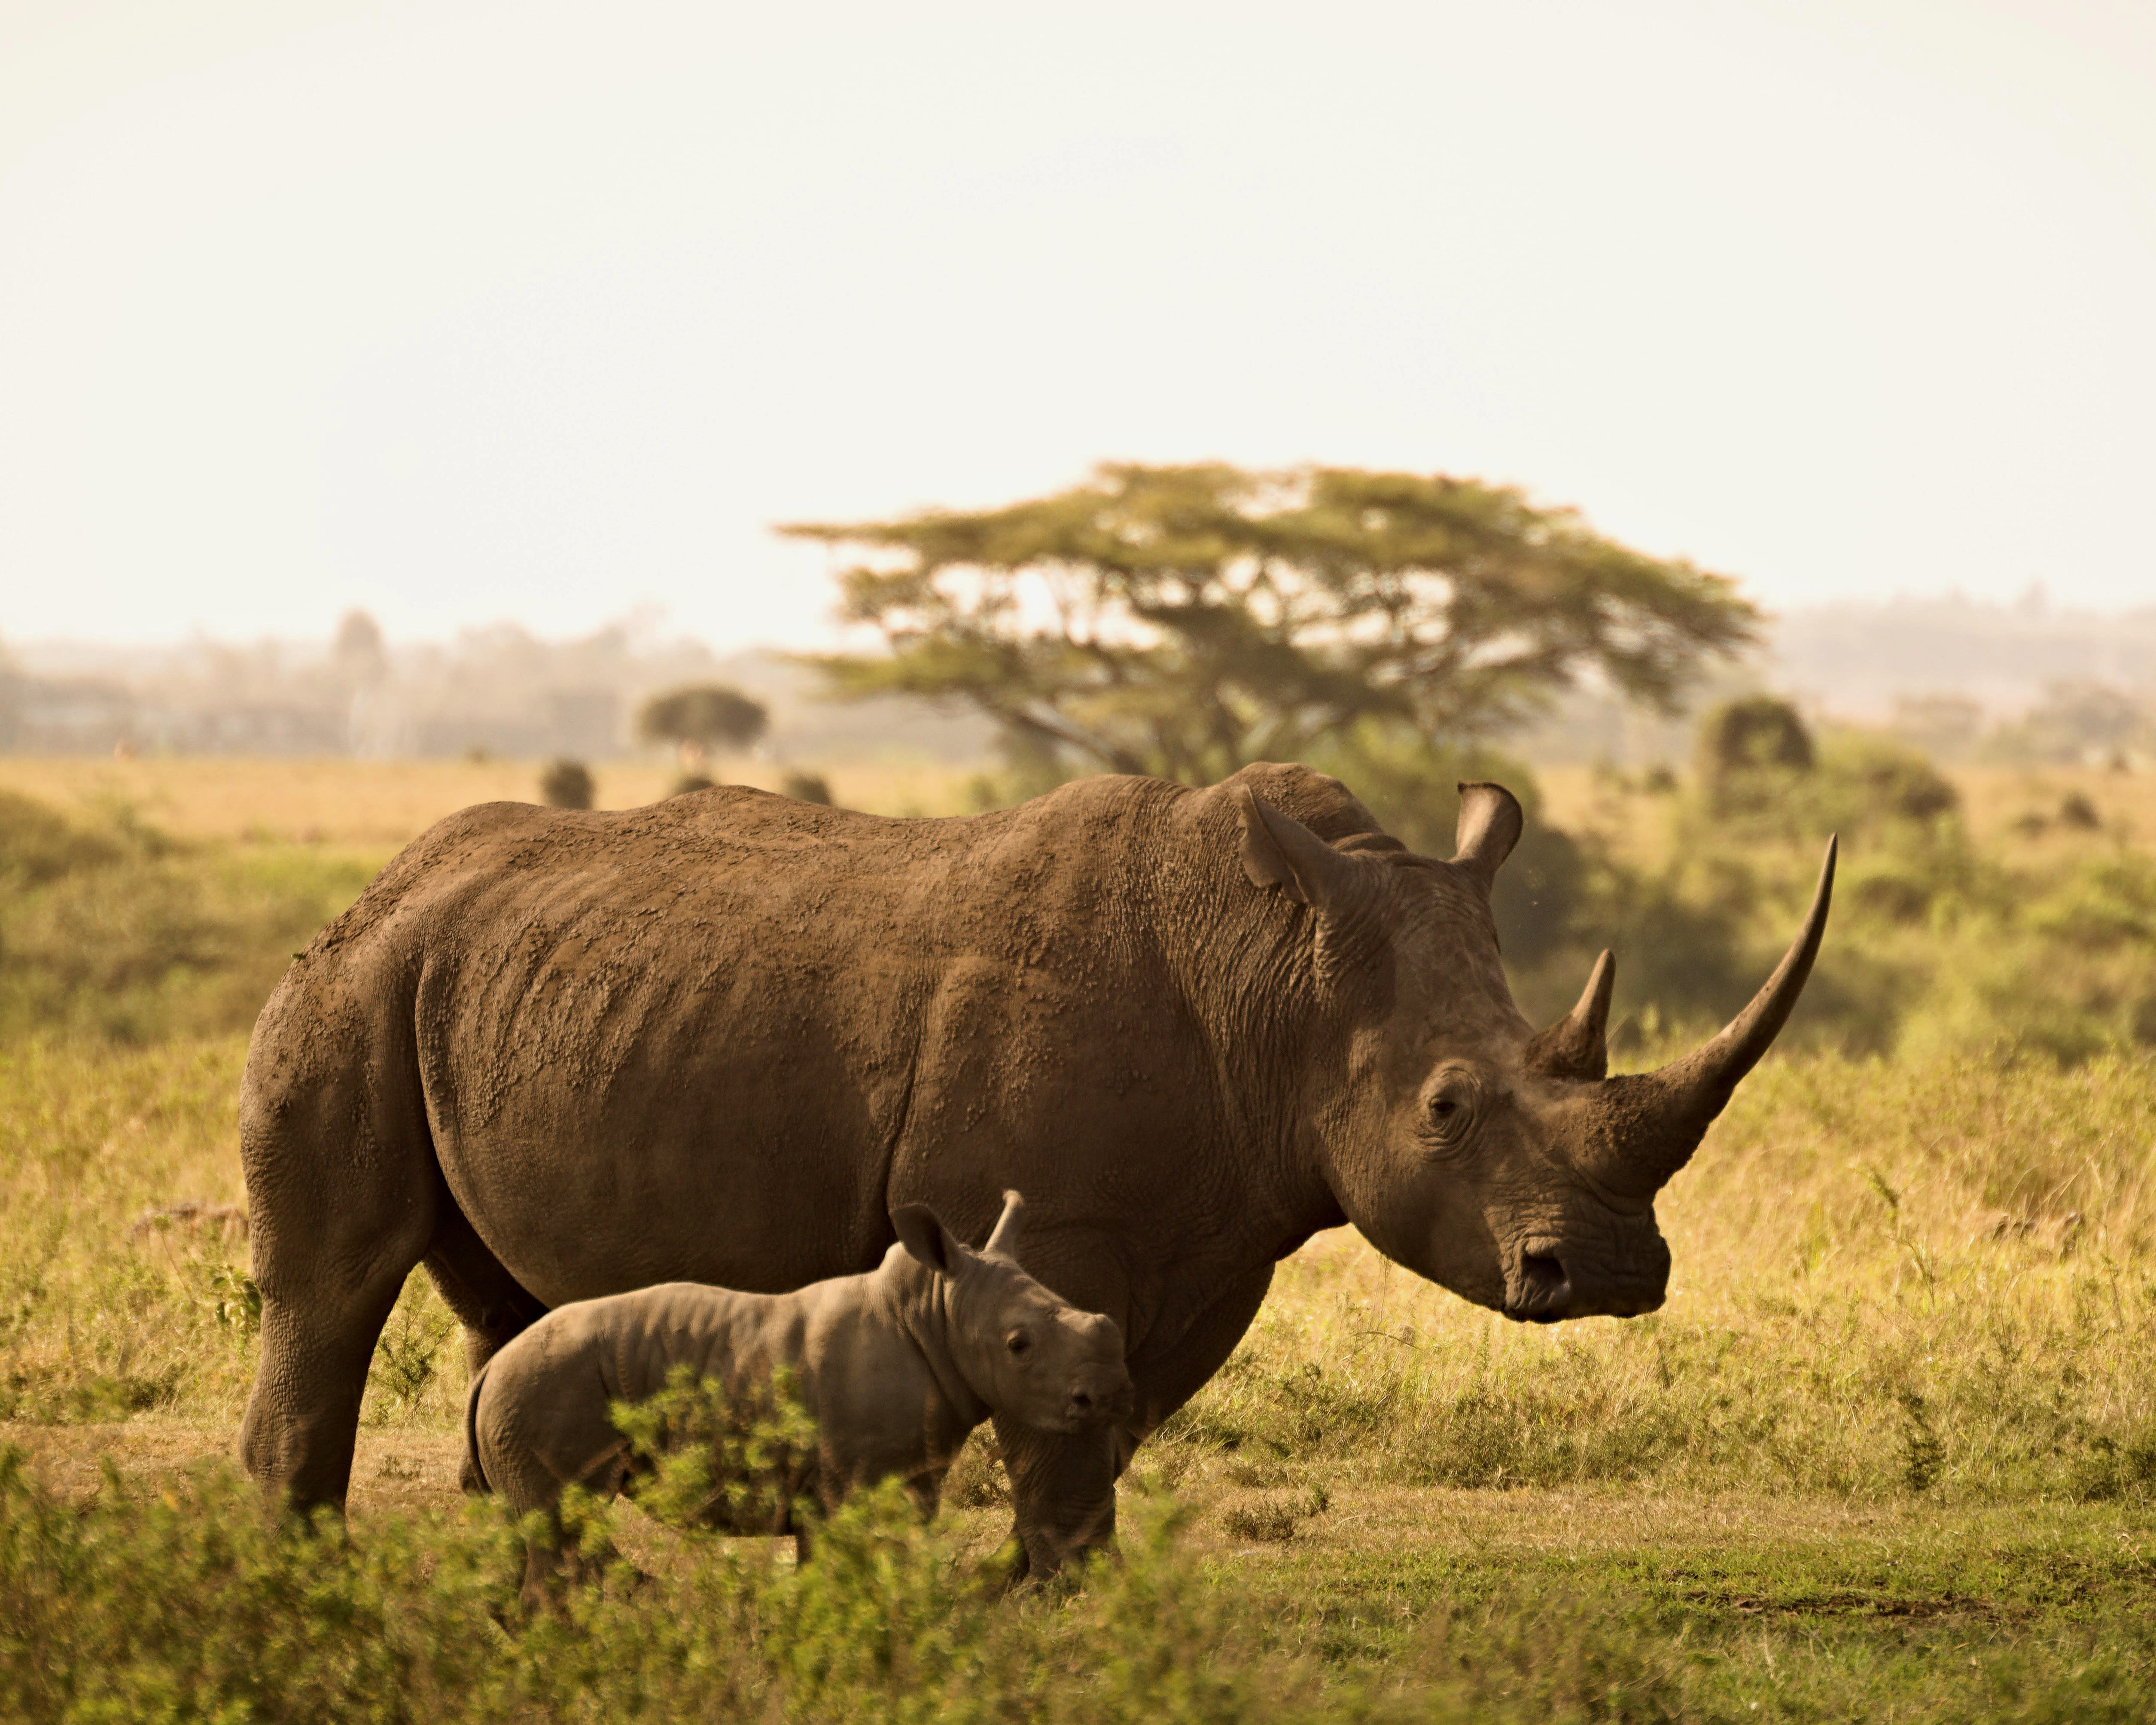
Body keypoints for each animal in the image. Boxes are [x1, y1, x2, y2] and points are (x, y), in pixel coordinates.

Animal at [466, 1189, 1130, 1598]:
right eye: (1019, 1345)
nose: (1107, 1396)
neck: (935, 1314)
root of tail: (490, 1370)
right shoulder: (853, 1483)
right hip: (542, 1389)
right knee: (562, 1531)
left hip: (526, 1396)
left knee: (531, 1533)